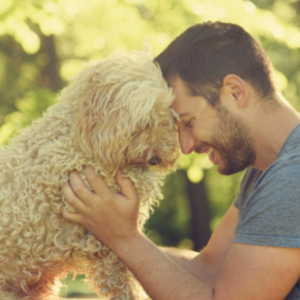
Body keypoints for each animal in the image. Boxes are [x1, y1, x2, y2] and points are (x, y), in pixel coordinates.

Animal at [0, 48, 179, 298]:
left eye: (168, 115)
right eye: (144, 122)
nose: (157, 158)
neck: (80, 137)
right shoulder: (108, 245)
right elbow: (124, 286)